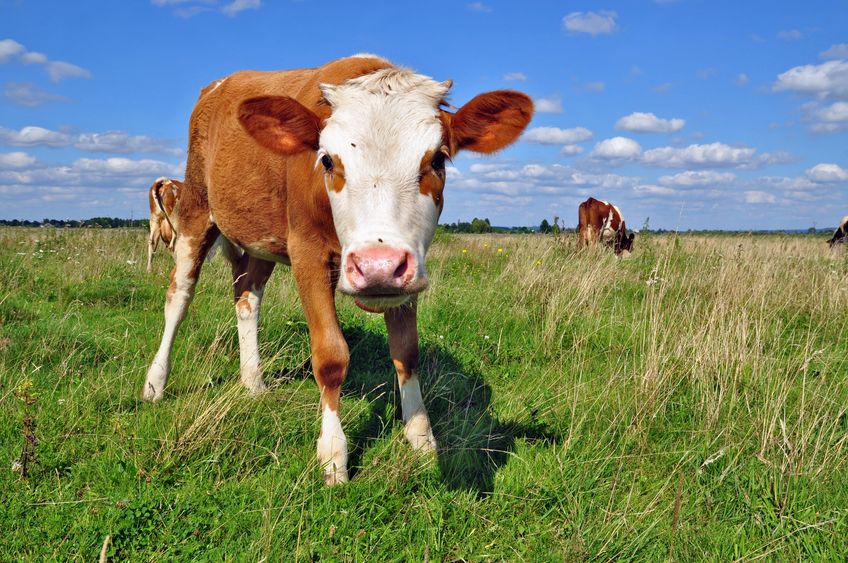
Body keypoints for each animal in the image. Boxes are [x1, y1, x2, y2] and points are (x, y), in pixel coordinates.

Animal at [142, 54, 532, 484]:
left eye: (438, 159)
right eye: (327, 160)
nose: (377, 266)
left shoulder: (406, 274)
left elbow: (407, 351)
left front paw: (420, 436)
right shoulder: (307, 254)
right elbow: (330, 356)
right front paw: (333, 454)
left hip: (262, 238)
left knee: (247, 298)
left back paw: (253, 380)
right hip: (196, 210)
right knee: (179, 297)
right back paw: (155, 383)